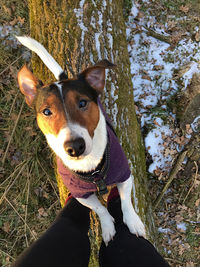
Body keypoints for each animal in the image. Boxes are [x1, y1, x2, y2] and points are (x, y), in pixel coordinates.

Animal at [16, 36, 145, 246]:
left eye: (83, 103)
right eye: (46, 111)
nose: (75, 147)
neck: (92, 169)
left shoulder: (125, 175)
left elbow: (126, 201)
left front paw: (133, 221)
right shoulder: (81, 194)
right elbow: (99, 209)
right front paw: (107, 226)